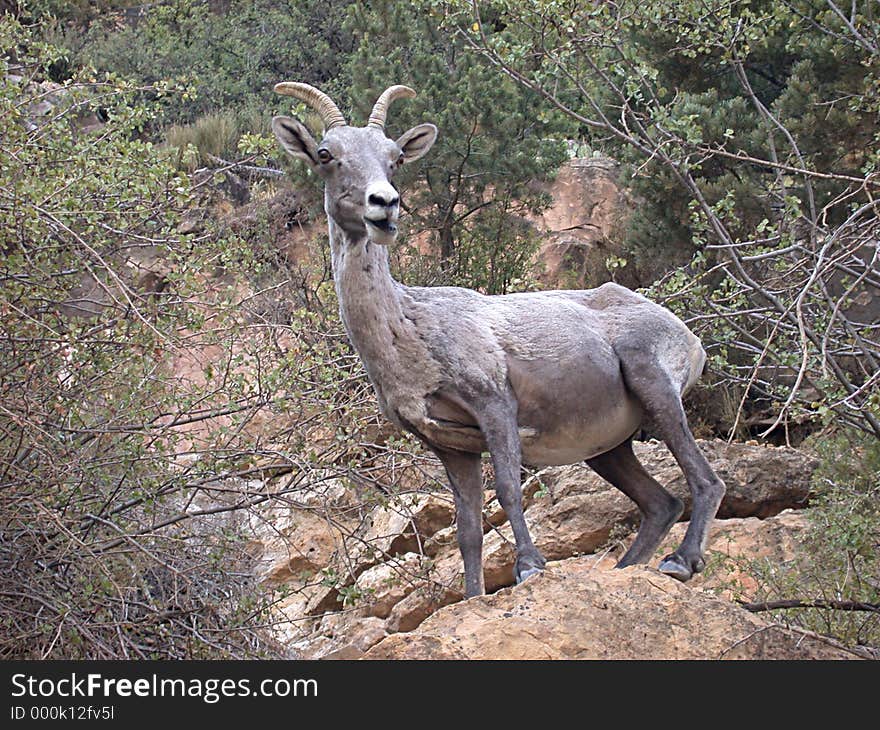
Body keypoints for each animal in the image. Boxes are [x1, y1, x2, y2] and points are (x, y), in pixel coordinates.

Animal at [272, 84, 724, 596]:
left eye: (395, 158)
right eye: (326, 155)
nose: (383, 204)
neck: (408, 333)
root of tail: (689, 339)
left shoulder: (494, 406)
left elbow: (507, 489)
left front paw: (530, 567)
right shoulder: (450, 446)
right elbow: (468, 528)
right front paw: (472, 596)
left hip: (654, 386)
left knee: (706, 480)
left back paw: (681, 562)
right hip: (610, 448)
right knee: (661, 504)